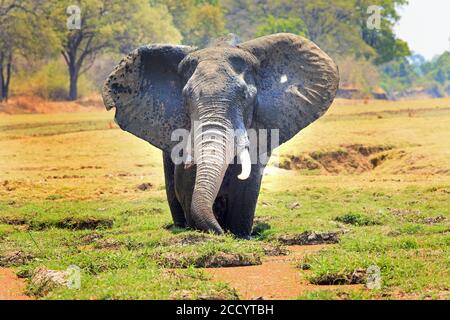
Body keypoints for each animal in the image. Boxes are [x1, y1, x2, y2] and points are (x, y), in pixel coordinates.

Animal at [103, 33, 338, 238]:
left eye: (246, 96)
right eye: (186, 97)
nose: (221, 233)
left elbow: (248, 182)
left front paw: (241, 235)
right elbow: (185, 181)